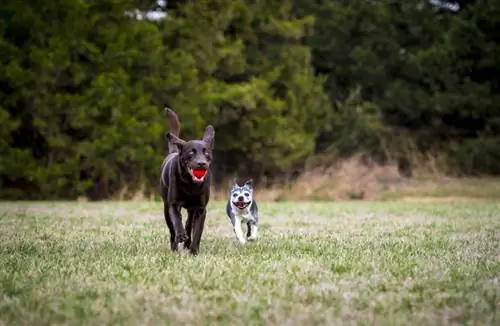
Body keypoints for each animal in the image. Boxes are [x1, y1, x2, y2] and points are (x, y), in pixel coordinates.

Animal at [160, 107, 215, 255]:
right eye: (191, 152)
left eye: (206, 153)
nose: (201, 163)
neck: (191, 185)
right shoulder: (173, 204)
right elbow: (177, 220)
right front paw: (180, 235)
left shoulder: (201, 209)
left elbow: (197, 232)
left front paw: (194, 251)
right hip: (166, 207)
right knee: (172, 229)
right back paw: (175, 247)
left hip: (191, 209)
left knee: (189, 223)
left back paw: (187, 243)